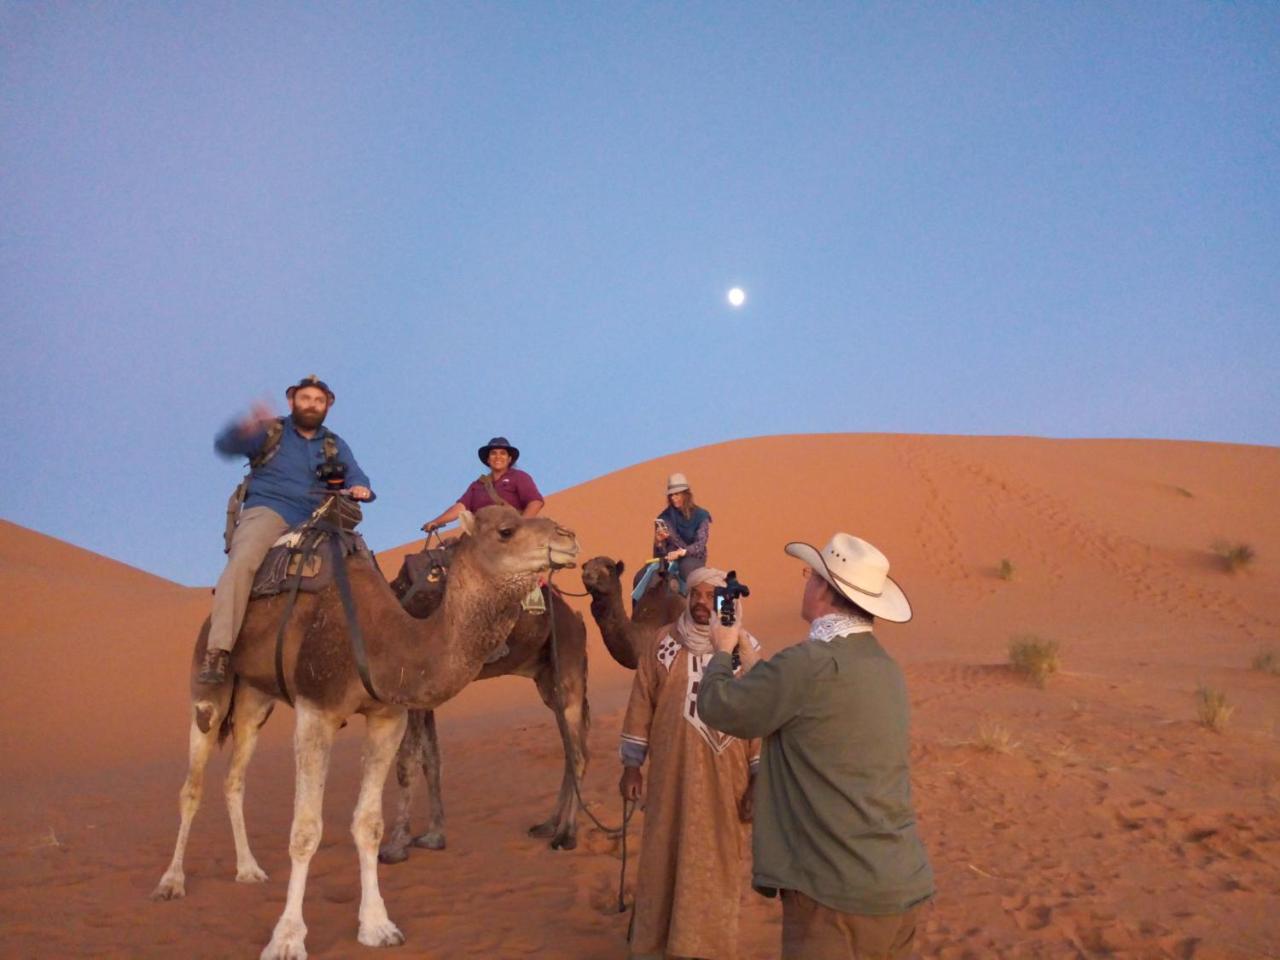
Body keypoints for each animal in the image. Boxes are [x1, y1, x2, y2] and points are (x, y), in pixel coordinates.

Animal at [373, 542, 586, 865]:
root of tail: (577, 618)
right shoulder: (426, 697)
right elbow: (431, 760)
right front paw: (434, 837)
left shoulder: (412, 694)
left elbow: (407, 761)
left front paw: (395, 846)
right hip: (548, 679)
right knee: (568, 750)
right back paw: (548, 825)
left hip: (567, 666)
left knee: (578, 754)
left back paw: (566, 836)